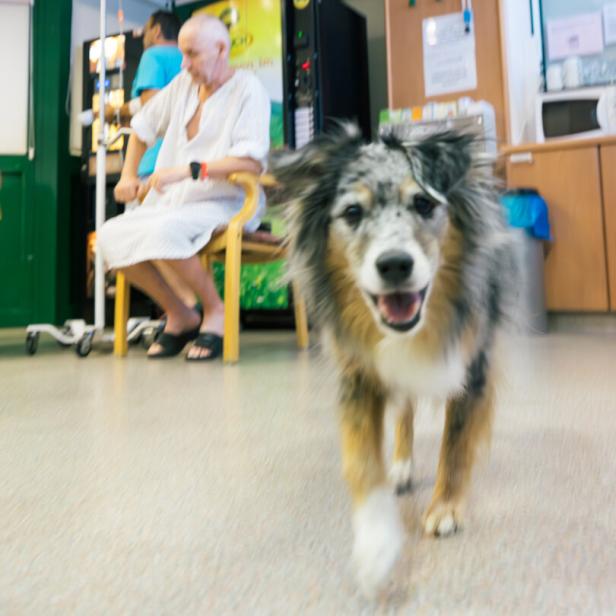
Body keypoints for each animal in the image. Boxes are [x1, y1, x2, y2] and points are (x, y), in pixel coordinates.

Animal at [272, 125, 516, 596]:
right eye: (351, 212)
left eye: (424, 203)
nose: (395, 264)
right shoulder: (357, 376)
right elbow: (363, 464)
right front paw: (376, 547)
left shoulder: (473, 367)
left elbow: (455, 446)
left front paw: (445, 508)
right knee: (404, 411)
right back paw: (401, 466)